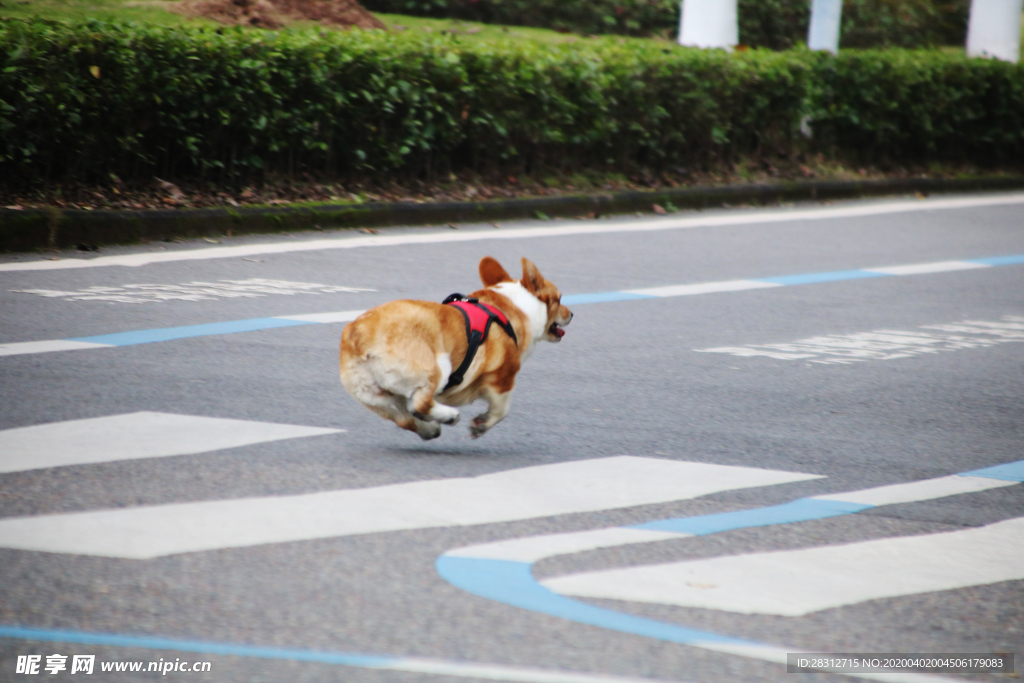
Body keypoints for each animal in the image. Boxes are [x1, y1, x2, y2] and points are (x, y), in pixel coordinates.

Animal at [339, 254, 573, 438]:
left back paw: (431, 429)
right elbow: (501, 409)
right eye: (559, 299)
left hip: (376, 397)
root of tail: (359, 332)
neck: (512, 307)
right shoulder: (503, 376)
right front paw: (481, 425)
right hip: (440, 365)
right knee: (420, 403)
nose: (571, 314)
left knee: (406, 417)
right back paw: (449, 416)